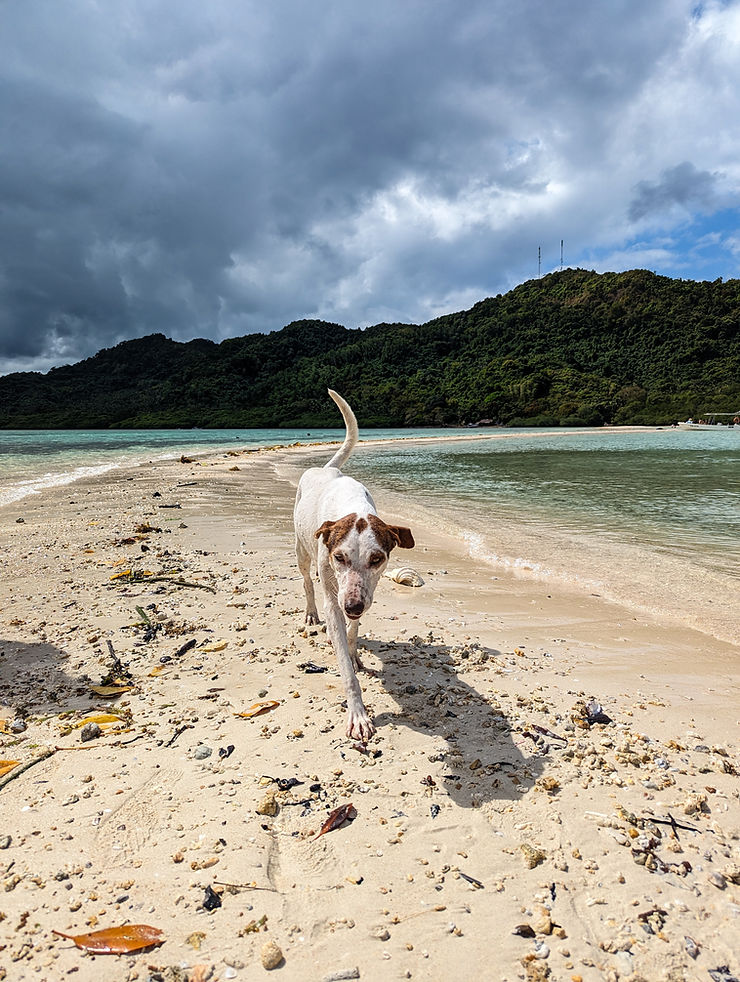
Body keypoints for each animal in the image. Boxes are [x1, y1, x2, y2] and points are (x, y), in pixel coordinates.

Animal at [294, 388, 416, 740]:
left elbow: (354, 630)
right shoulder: (334, 594)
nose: (352, 606)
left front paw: (354, 650)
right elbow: (346, 671)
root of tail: (325, 469)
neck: (351, 505)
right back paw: (311, 613)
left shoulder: (365, 592)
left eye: (377, 559)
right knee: (307, 581)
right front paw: (358, 714)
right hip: (301, 550)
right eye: (339, 557)